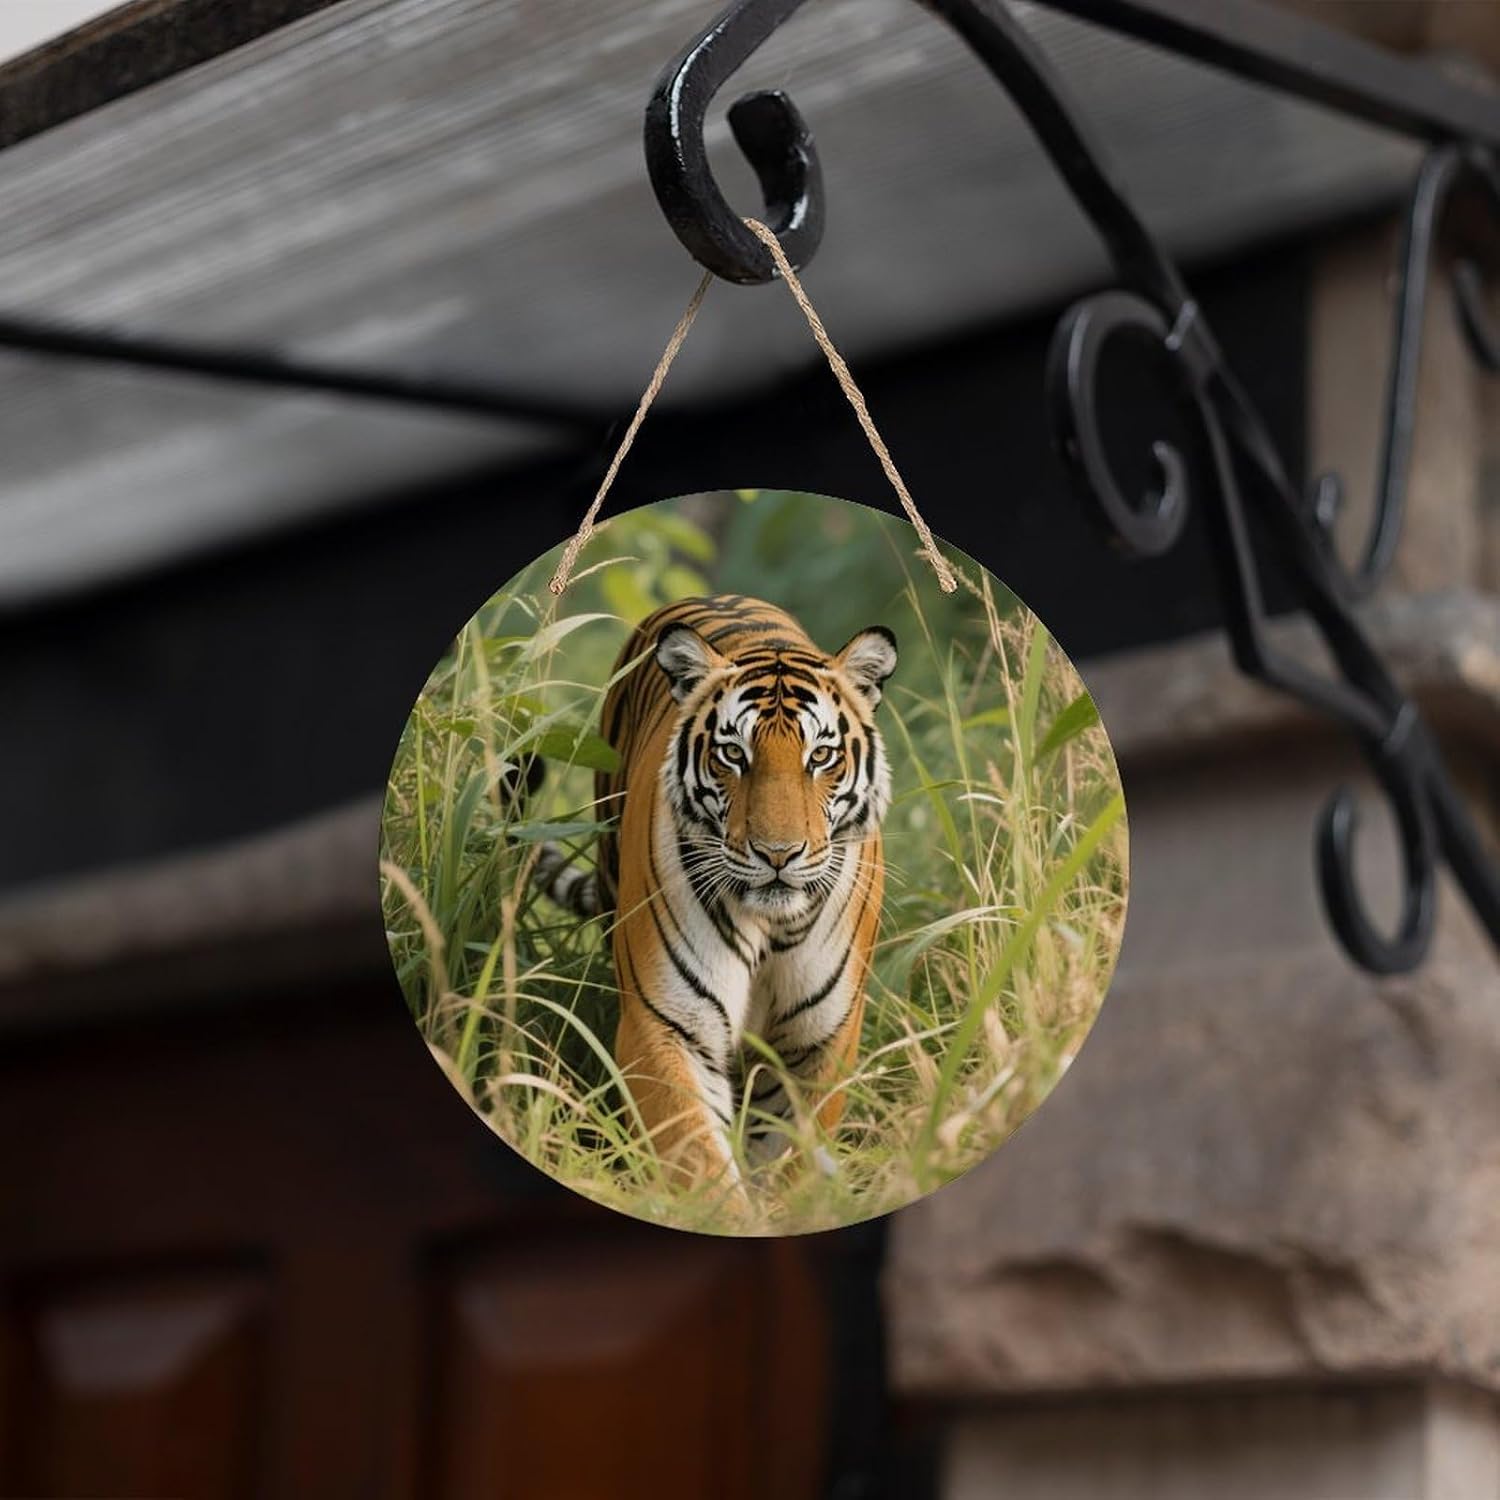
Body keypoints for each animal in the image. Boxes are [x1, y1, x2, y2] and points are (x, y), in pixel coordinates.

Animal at [534, 594, 897, 1196]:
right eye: (733, 754)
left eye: (820, 757)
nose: (778, 854)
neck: (772, 925)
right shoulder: (669, 1026)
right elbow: (698, 1159)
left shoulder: (820, 1039)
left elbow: (791, 1162)